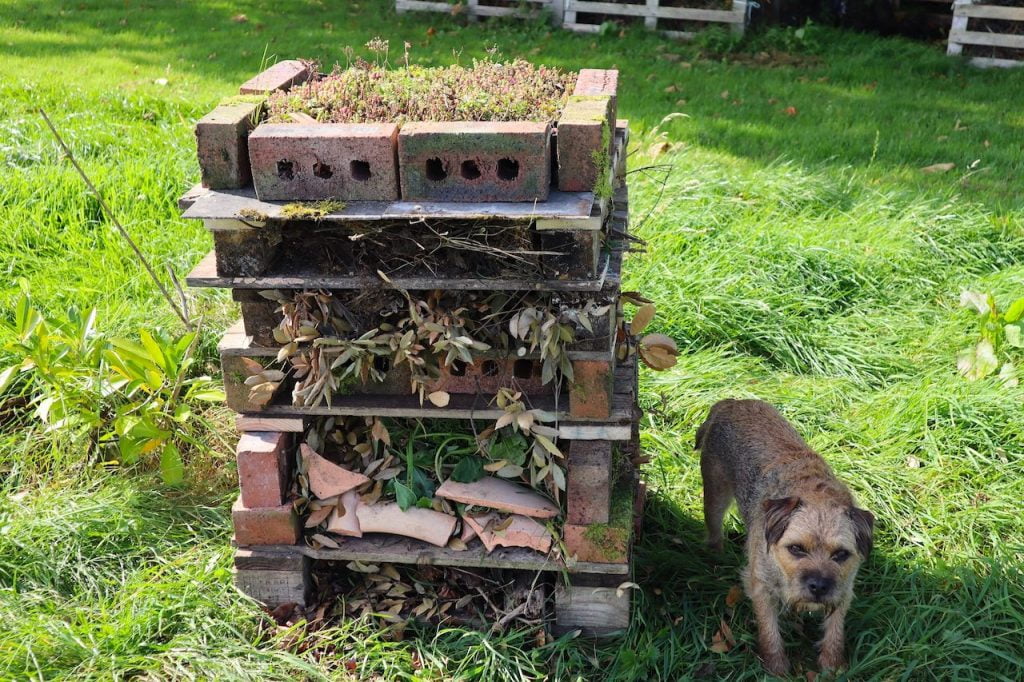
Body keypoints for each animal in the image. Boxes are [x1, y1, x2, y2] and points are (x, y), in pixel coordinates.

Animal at [696, 399, 872, 675]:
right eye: (796, 548)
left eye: (841, 554)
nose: (818, 586)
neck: (817, 497)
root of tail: (731, 402)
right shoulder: (760, 586)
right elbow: (769, 631)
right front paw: (776, 667)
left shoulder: (843, 587)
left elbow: (835, 628)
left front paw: (833, 665)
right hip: (714, 495)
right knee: (714, 531)